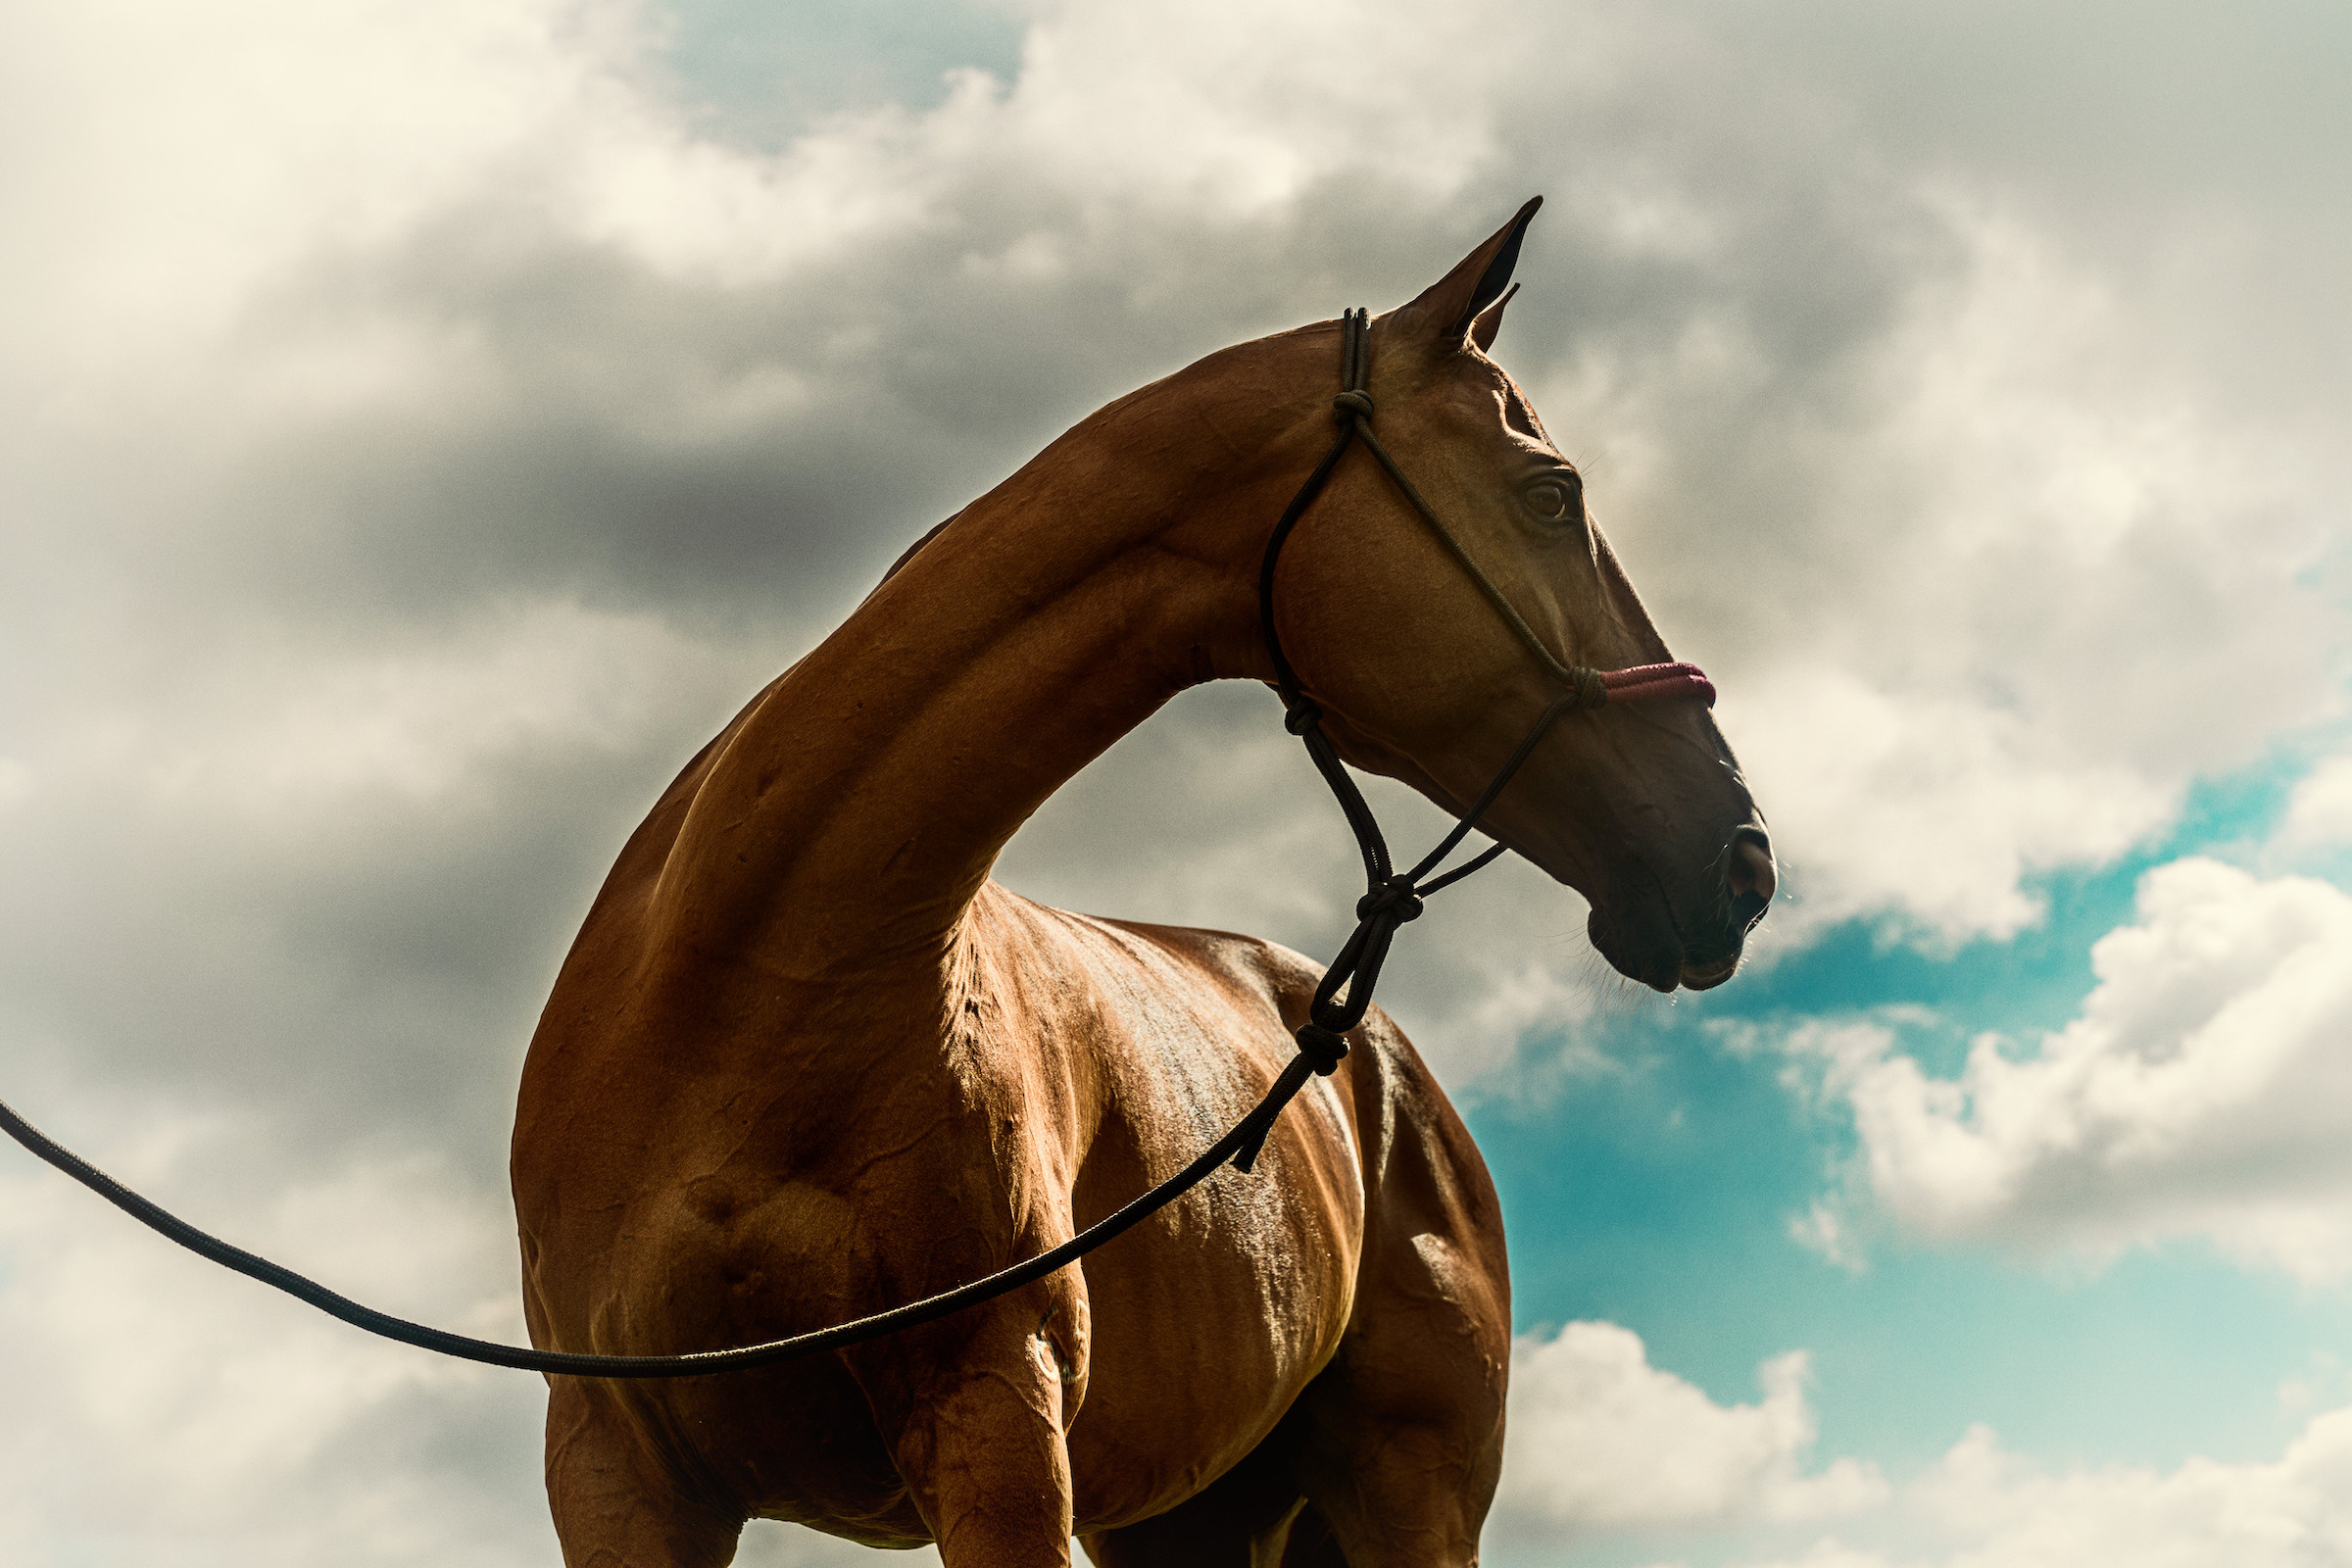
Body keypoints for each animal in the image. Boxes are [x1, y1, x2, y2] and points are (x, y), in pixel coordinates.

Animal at [510, 200, 1774, 1568]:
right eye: (1552, 493)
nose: (1743, 857)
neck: (752, 982)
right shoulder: (621, 1474)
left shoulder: (999, 1425)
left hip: (1407, 1494)